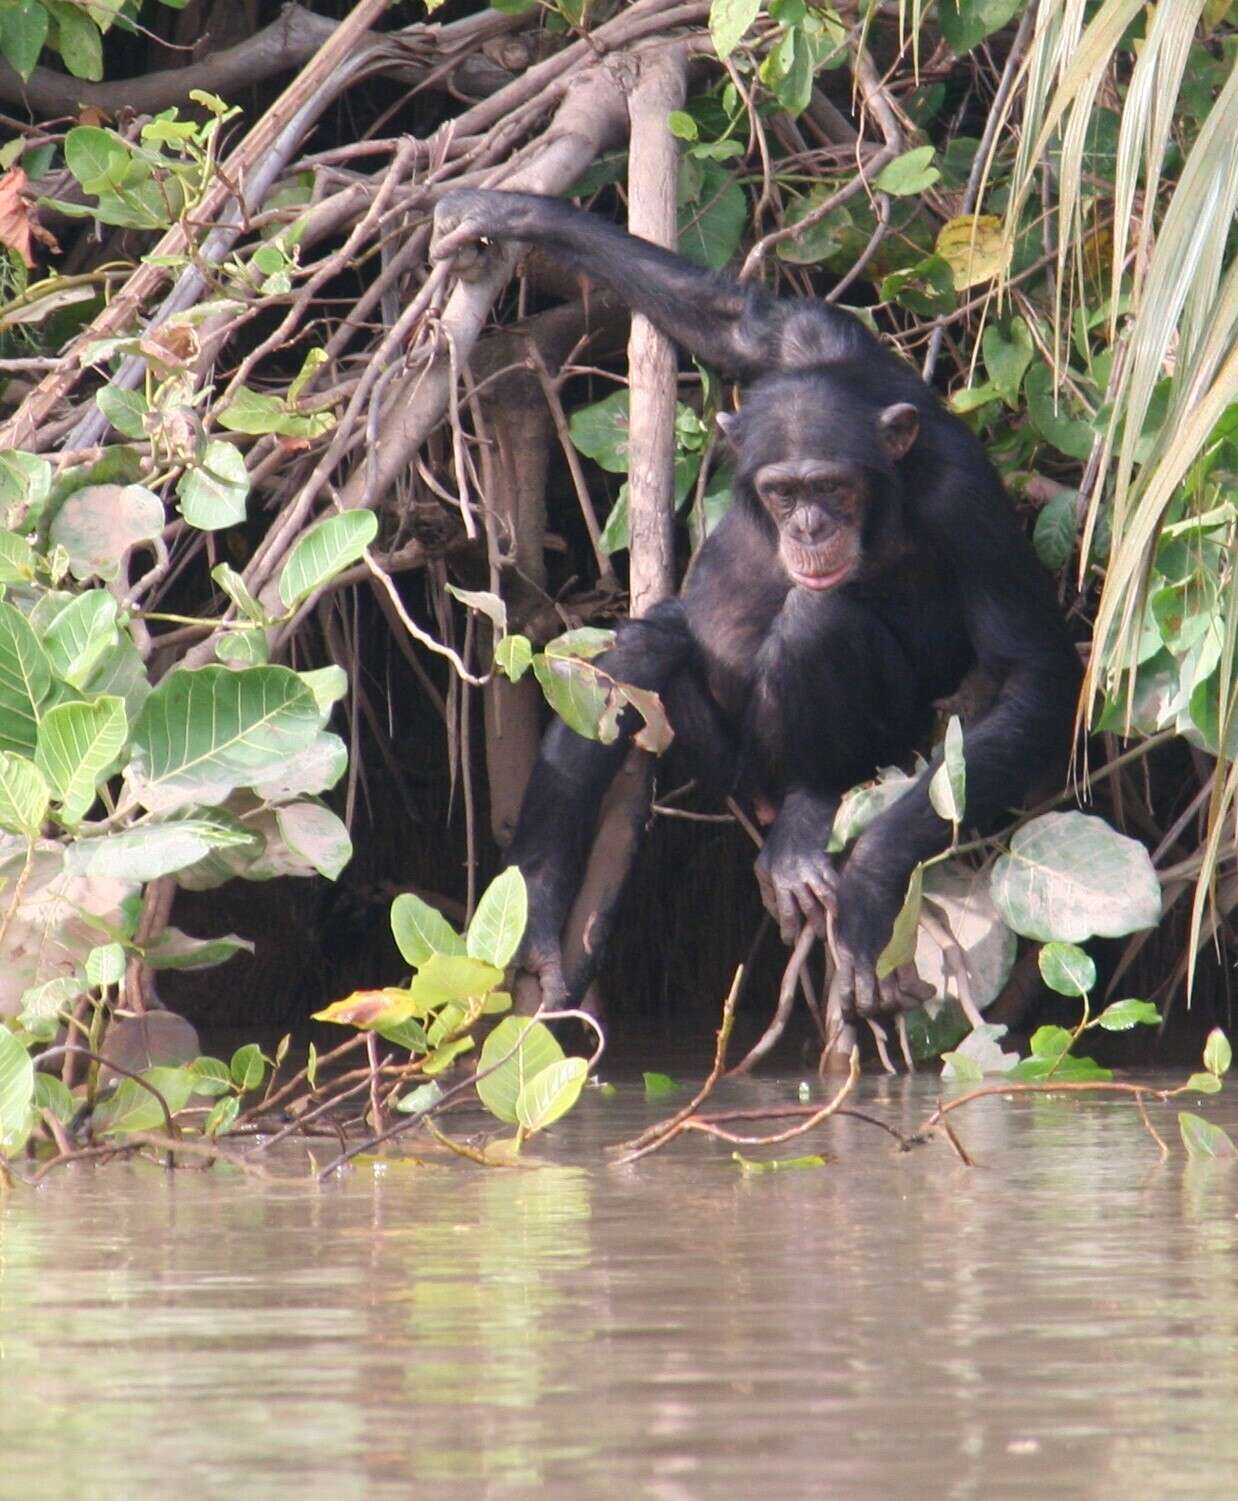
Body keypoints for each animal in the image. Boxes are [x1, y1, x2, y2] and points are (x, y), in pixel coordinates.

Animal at [426, 190, 1080, 1020]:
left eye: (831, 488)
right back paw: (537, 901)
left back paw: (803, 820)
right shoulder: (811, 339)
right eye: (783, 492)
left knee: (816, 626)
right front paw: (511, 215)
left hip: (860, 749)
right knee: (632, 660)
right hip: (720, 760)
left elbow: (1032, 672)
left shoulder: (967, 504)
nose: (809, 527)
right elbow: (736, 321)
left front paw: (872, 884)